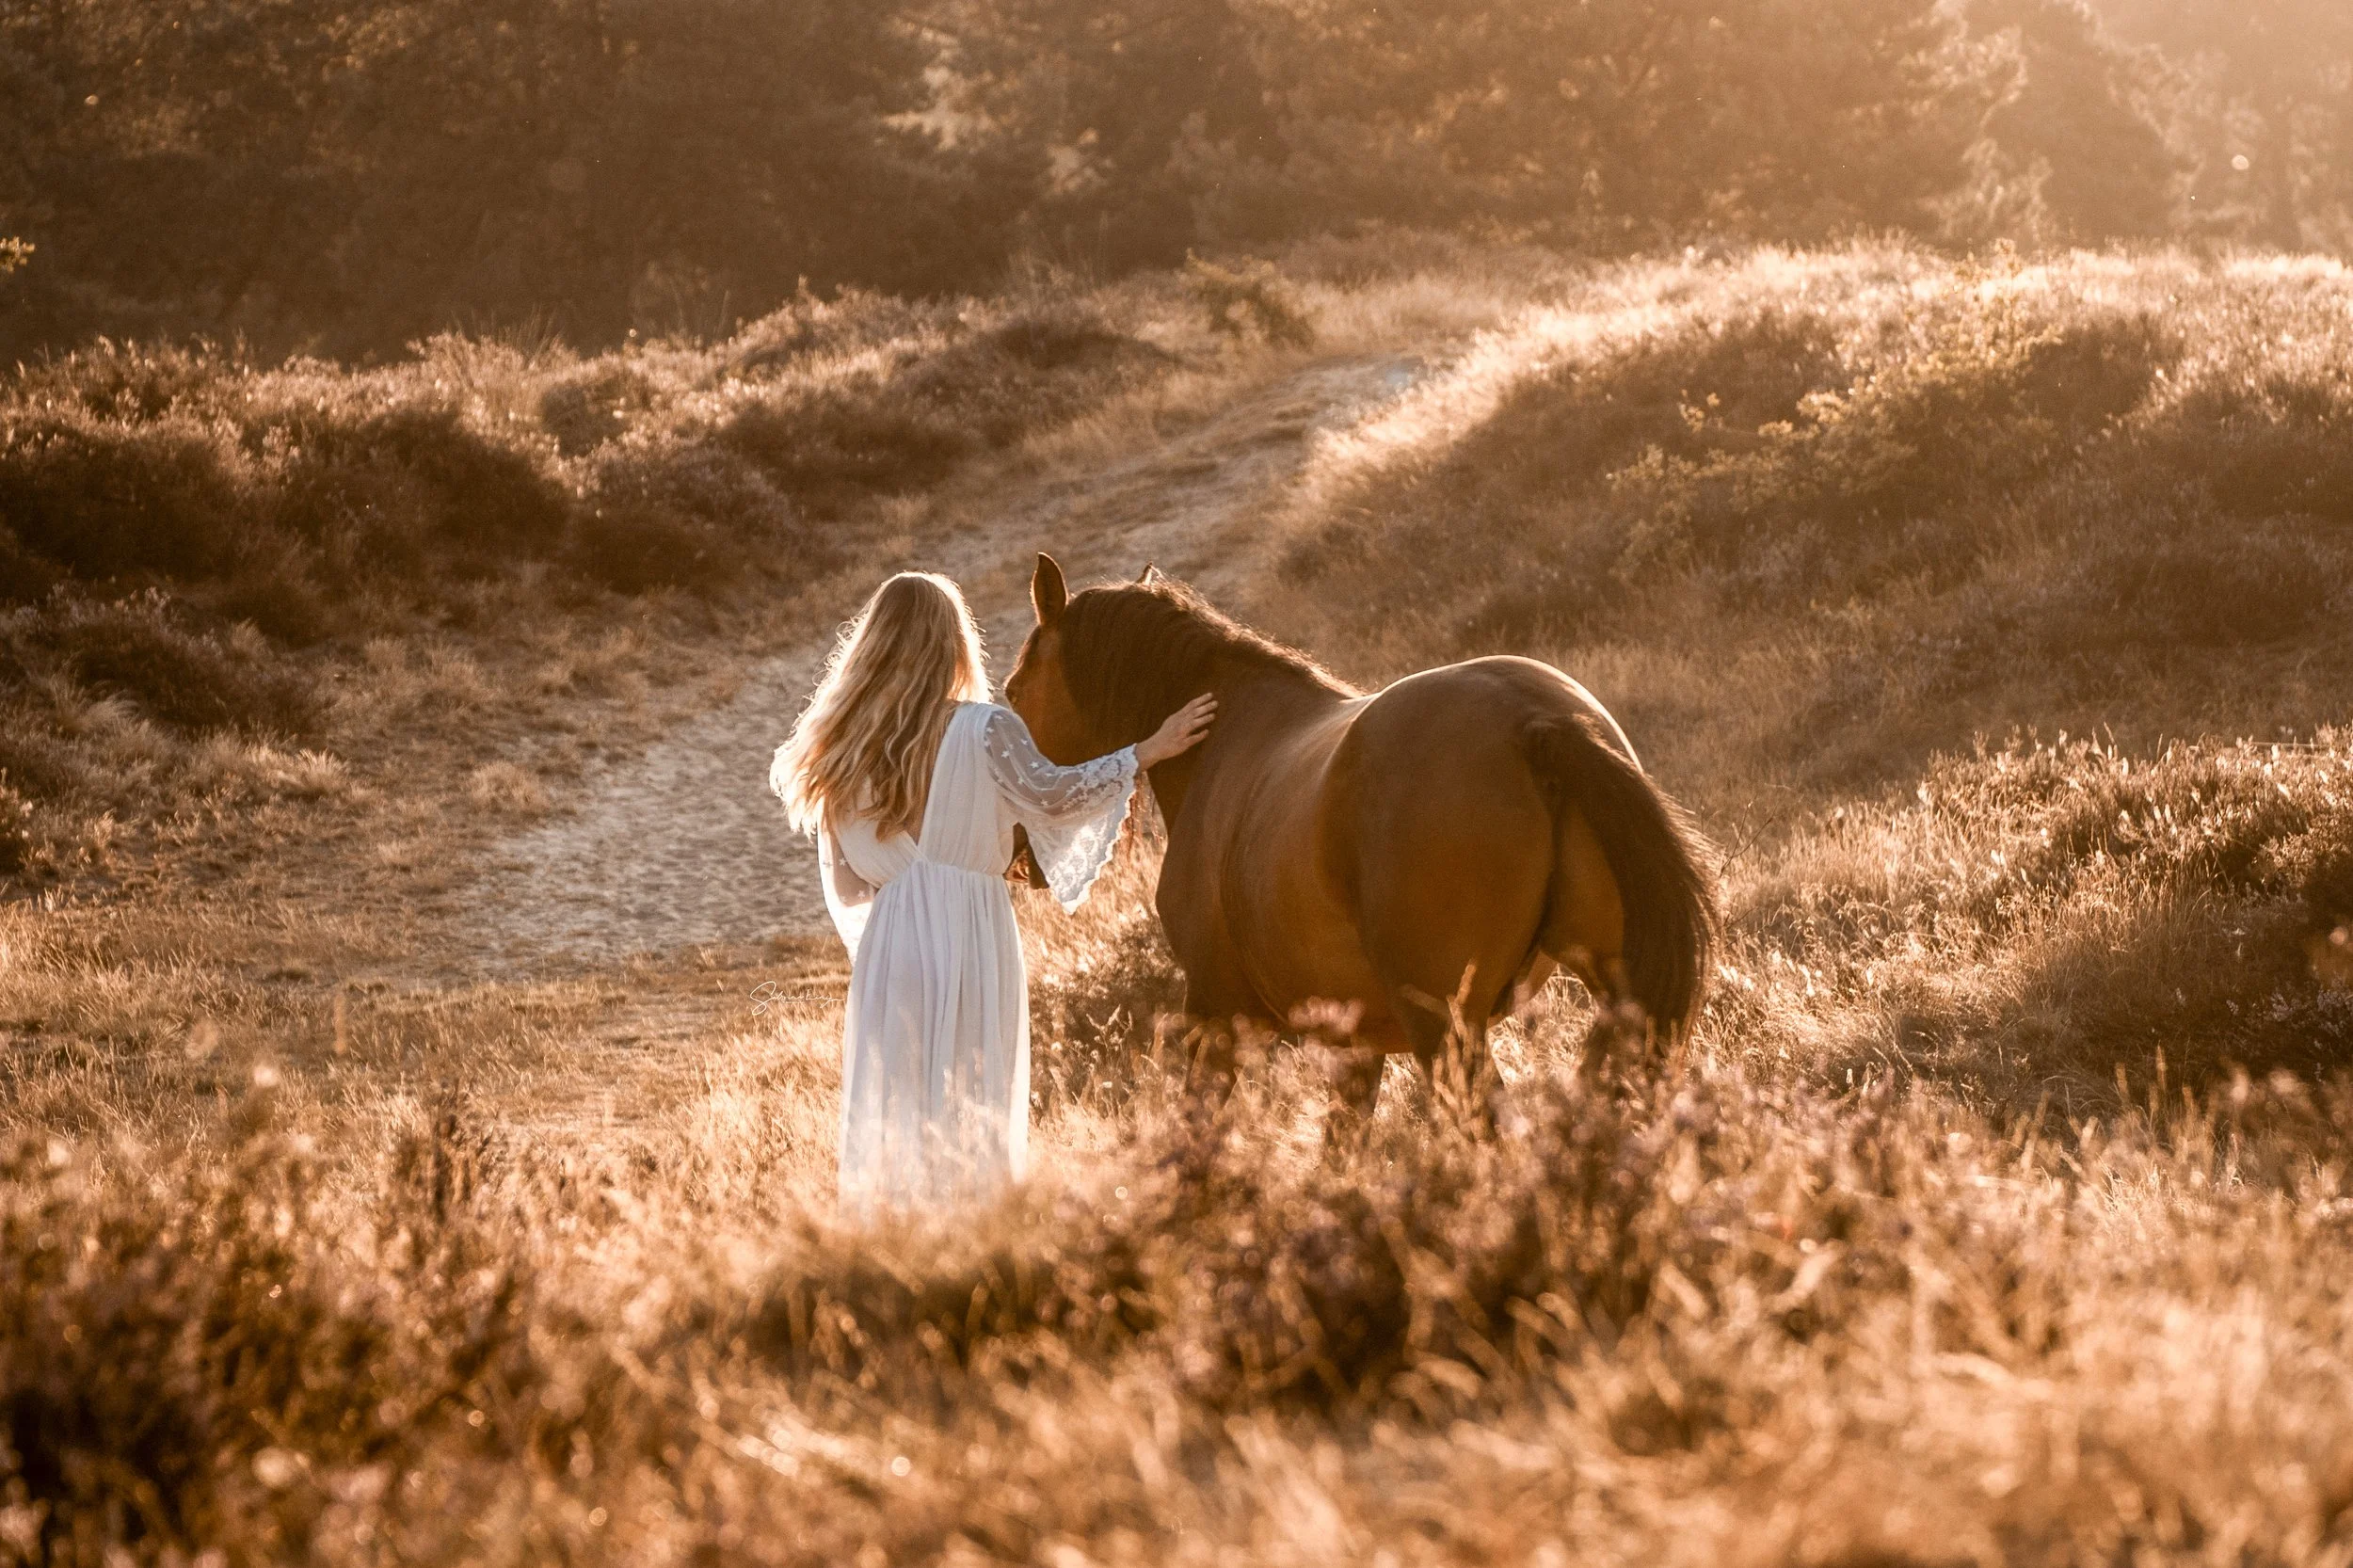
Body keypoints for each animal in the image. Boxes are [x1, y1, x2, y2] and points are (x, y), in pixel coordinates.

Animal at [1005, 553, 1719, 1113]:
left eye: (1012, 693)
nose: (1017, 855)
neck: (1225, 741)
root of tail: (1534, 722)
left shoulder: (1217, 1014)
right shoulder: (1359, 1046)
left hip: (1446, 1031)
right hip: (1610, 991)